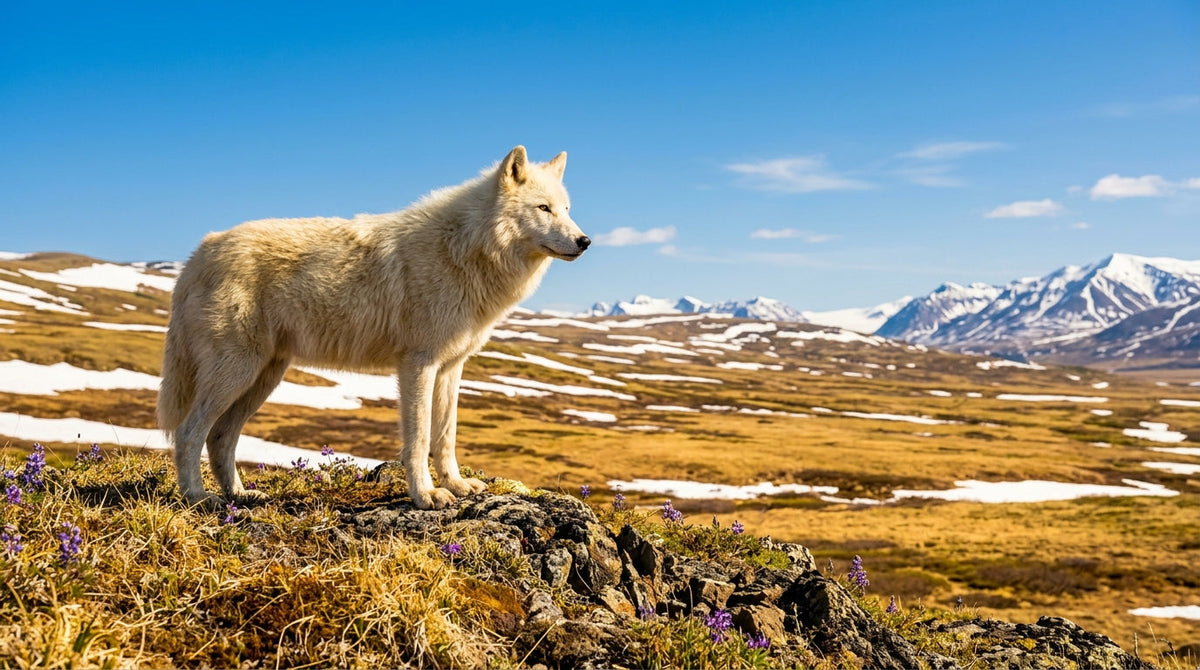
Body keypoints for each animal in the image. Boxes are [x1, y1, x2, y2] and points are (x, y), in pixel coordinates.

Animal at [157, 146, 589, 510]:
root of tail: (199, 253)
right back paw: (198, 497)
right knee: (189, 432)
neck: (465, 247)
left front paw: (456, 485)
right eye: (544, 208)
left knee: (220, 437)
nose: (584, 241)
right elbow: (418, 439)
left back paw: (240, 496)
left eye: (567, 208)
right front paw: (426, 496)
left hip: (262, 378)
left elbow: (445, 436)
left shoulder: (451, 368)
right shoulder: (418, 365)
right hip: (236, 374)